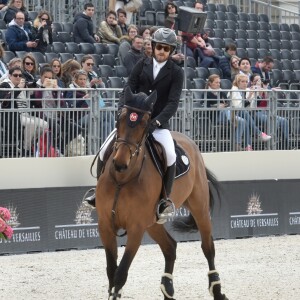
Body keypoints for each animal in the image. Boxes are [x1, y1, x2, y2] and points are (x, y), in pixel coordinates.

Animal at [96, 87, 227, 300]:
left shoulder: (136, 228)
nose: (120, 163)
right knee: (170, 247)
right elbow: (111, 271)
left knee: (208, 247)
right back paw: (168, 289)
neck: (123, 180)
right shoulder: (106, 225)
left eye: (144, 123)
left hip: (199, 207)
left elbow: (120, 273)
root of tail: (191, 142)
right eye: (120, 118)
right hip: (152, 223)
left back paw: (217, 289)